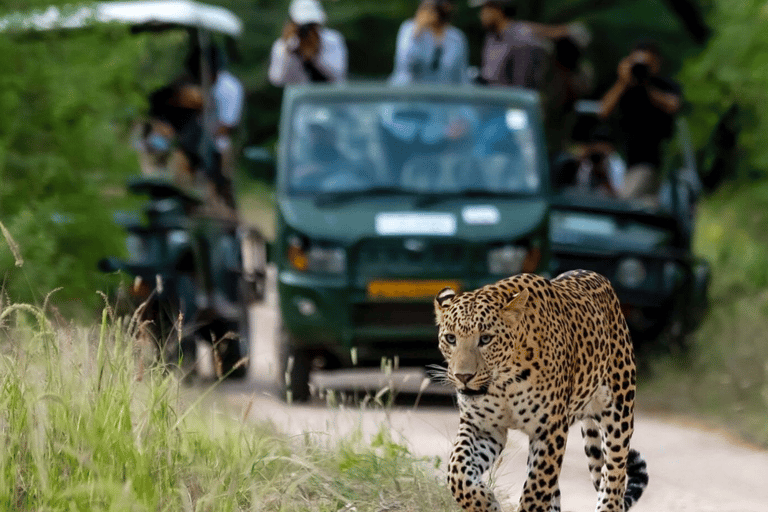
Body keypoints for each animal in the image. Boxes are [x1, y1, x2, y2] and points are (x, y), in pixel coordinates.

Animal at [436, 270, 644, 510]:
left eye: (486, 338)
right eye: (451, 338)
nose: (463, 376)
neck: (504, 383)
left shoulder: (550, 430)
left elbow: (536, 489)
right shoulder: (482, 427)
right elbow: (457, 472)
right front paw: (487, 502)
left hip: (619, 414)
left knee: (614, 477)